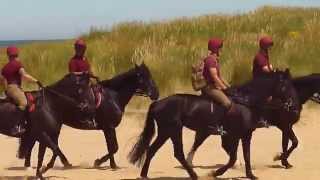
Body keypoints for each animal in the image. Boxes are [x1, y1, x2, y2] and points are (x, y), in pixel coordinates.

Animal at [21, 62, 159, 172]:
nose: (156, 94)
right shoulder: (109, 127)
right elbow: (114, 147)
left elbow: (111, 147)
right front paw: (100, 162)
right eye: (144, 78)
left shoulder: (107, 128)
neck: (113, 96)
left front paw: (112, 165)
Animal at [127, 69, 292, 179]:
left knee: (152, 150)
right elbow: (233, 158)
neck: (245, 102)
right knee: (177, 153)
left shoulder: (244, 135)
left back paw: (144, 174)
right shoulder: (233, 136)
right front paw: (215, 172)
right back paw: (193, 174)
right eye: (285, 86)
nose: (290, 104)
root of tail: (158, 103)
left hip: (166, 131)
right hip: (173, 130)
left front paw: (250, 175)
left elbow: (245, 155)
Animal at [186, 73, 320, 170]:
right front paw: (280, 158)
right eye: (285, 88)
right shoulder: (284, 125)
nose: (293, 107)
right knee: (199, 142)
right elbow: (294, 142)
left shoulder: (286, 126)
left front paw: (284, 162)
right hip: (209, 129)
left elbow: (286, 143)